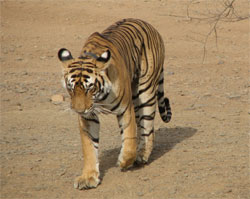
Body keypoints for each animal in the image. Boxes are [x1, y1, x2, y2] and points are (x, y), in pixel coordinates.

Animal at [58, 18, 172, 190]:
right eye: (71, 88)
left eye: (89, 88)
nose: (79, 110)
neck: (99, 98)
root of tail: (149, 25)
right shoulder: (88, 117)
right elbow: (89, 147)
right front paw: (88, 177)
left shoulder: (125, 109)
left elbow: (129, 139)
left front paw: (124, 161)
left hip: (145, 91)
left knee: (147, 127)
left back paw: (141, 155)